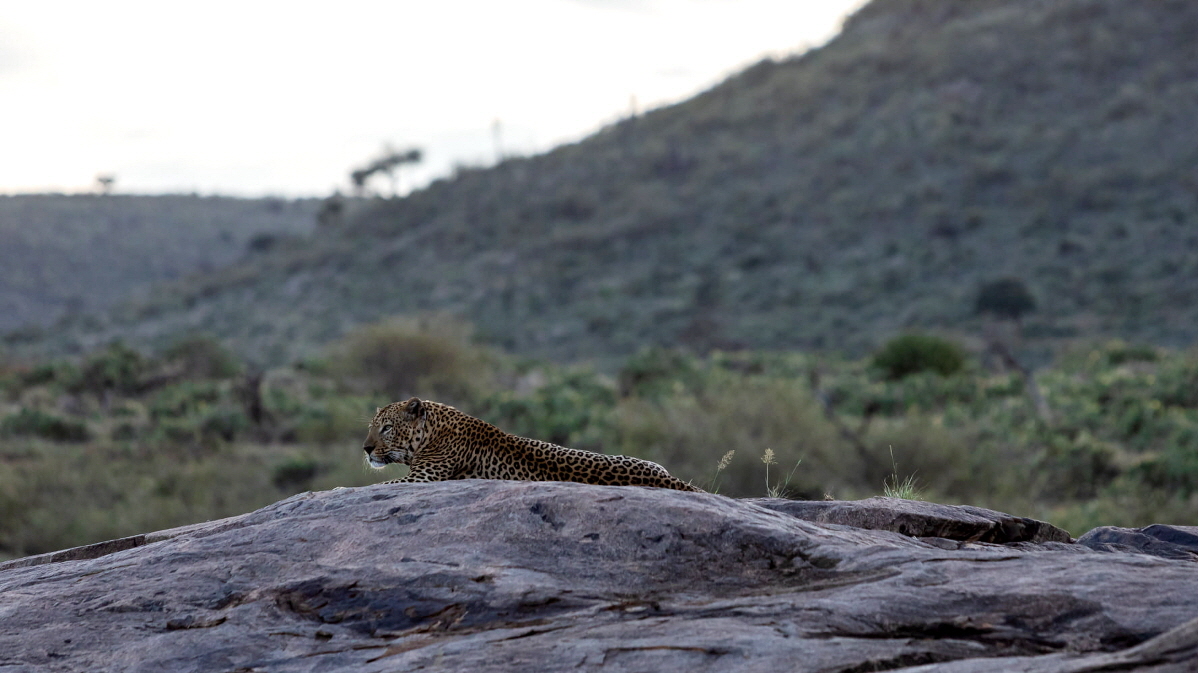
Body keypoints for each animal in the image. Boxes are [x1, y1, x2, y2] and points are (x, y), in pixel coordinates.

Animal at [362, 397, 703, 492]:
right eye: (371, 428)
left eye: (387, 428)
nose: (366, 449)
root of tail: (670, 480)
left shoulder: (423, 478)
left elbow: (371, 486)